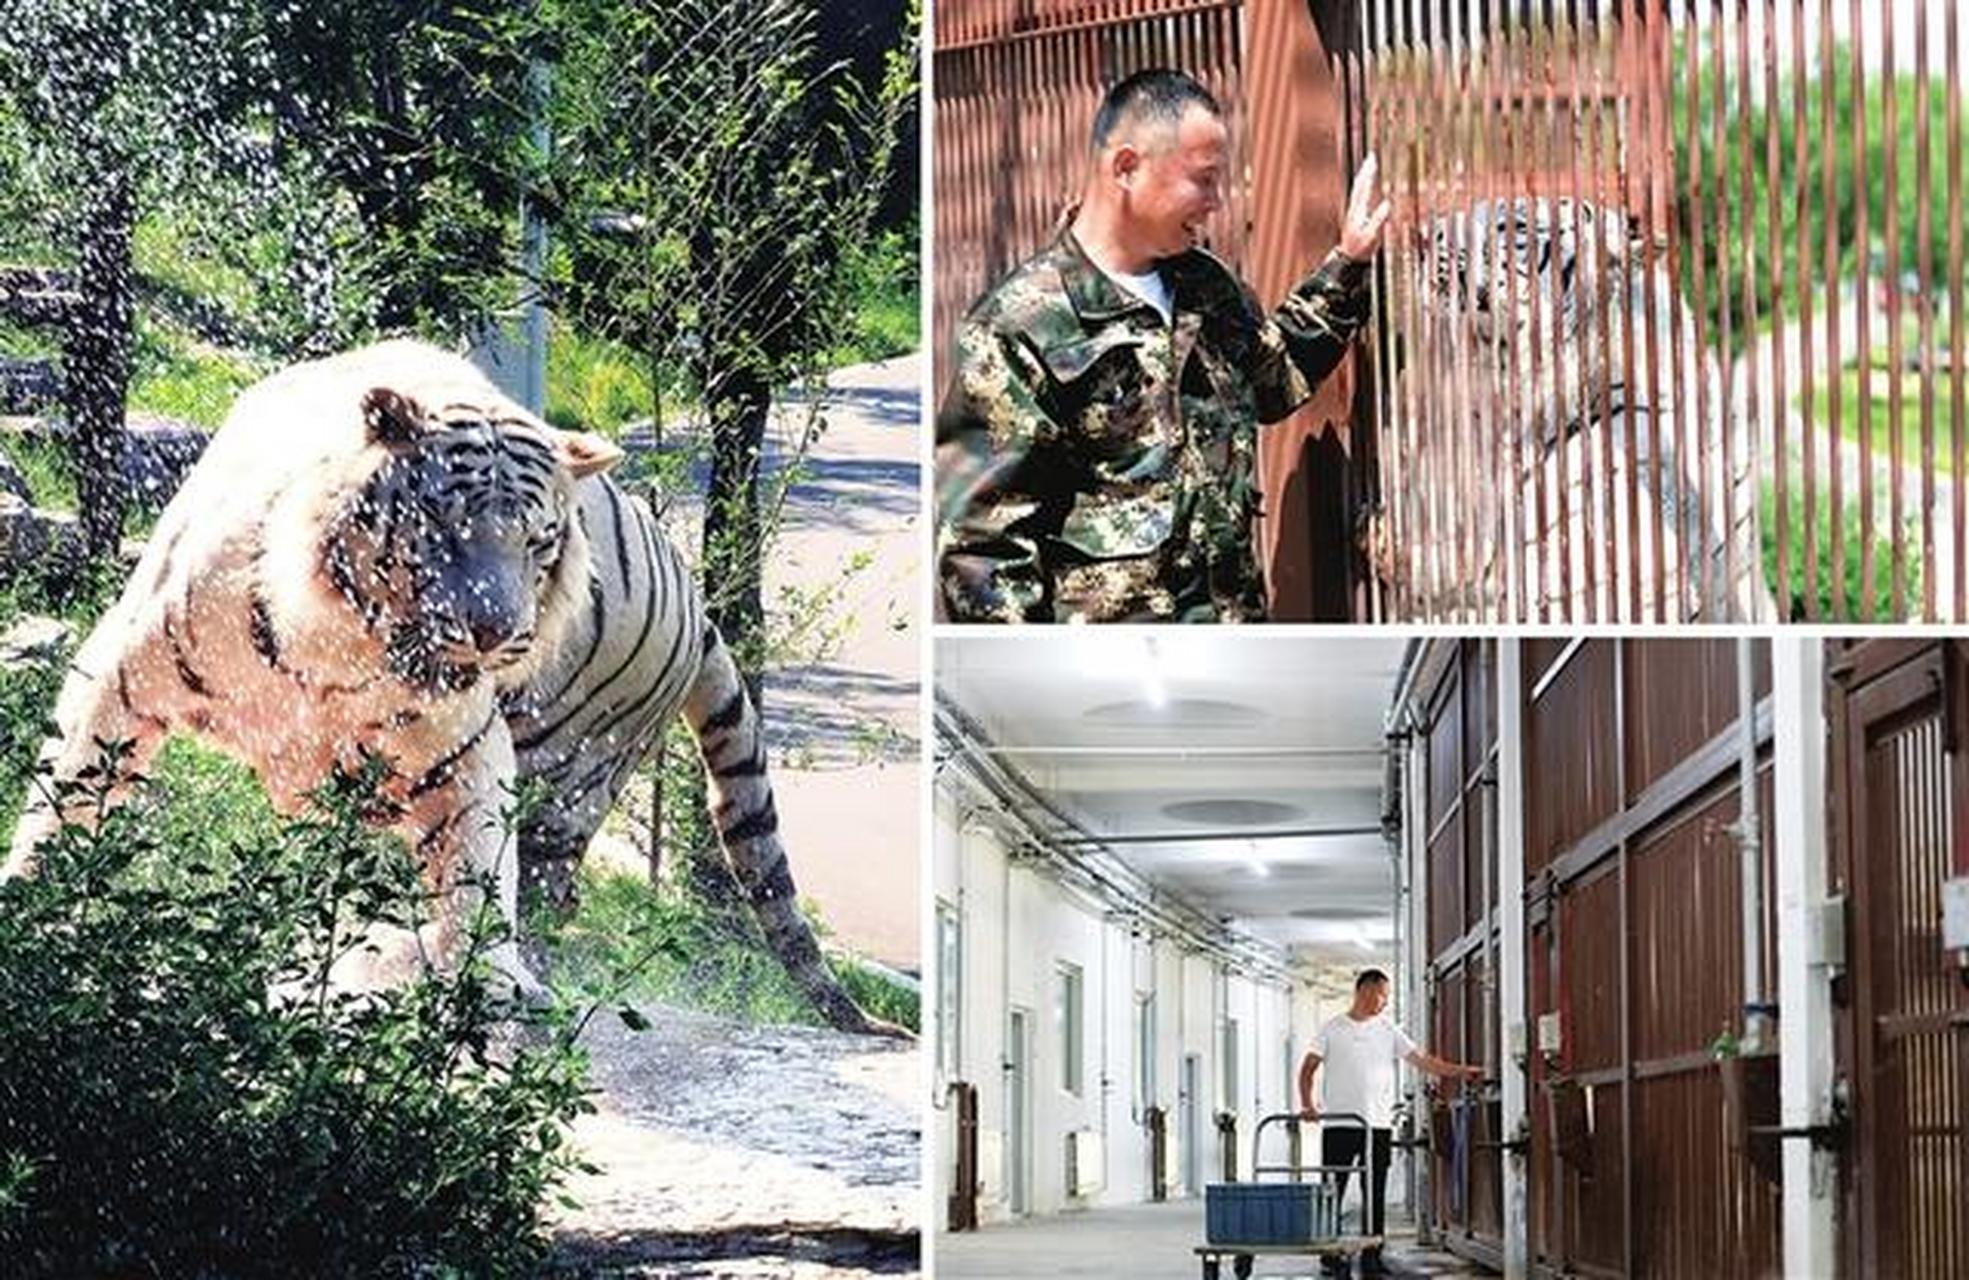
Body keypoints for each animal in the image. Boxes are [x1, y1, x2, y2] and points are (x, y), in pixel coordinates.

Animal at [5, 336, 886, 1024]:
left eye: (538, 540)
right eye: (444, 526)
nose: (495, 632)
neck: (337, 647)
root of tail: (699, 605)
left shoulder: (465, 748)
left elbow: (475, 877)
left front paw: (465, 980)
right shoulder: (121, 678)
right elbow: (64, 800)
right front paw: (35, 913)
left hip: (570, 774)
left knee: (546, 886)